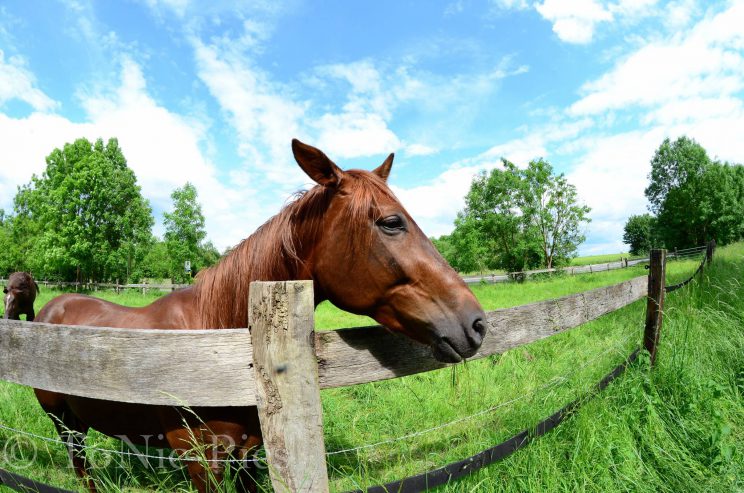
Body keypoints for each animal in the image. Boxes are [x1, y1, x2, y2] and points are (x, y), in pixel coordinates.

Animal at [33, 139, 488, 492]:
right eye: (392, 222)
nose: (477, 324)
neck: (222, 346)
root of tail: (49, 309)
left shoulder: (248, 454)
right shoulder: (201, 461)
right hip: (65, 425)